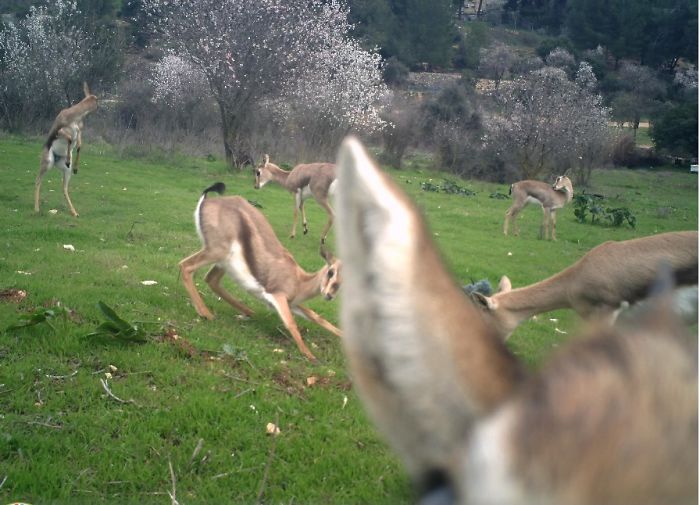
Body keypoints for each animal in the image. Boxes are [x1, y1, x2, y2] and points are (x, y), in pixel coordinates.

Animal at [34, 82, 98, 217]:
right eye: (97, 99)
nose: (98, 106)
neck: (74, 116)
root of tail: (56, 161)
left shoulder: (79, 132)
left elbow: (79, 146)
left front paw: (75, 167)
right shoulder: (60, 132)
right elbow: (69, 139)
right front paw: (69, 160)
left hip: (65, 171)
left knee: (64, 188)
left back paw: (74, 212)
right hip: (47, 163)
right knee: (38, 181)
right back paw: (36, 209)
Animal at [179, 182, 342, 362]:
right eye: (330, 272)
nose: (329, 295)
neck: (299, 281)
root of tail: (208, 200)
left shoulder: (292, 303)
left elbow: (317, 317)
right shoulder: (278, 297)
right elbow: (291, 323)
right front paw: (310, 356)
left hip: (223, 262)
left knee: (211, 279)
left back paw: (248, 312)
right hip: (216, 252)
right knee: (185, 266)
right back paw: (206, 314)